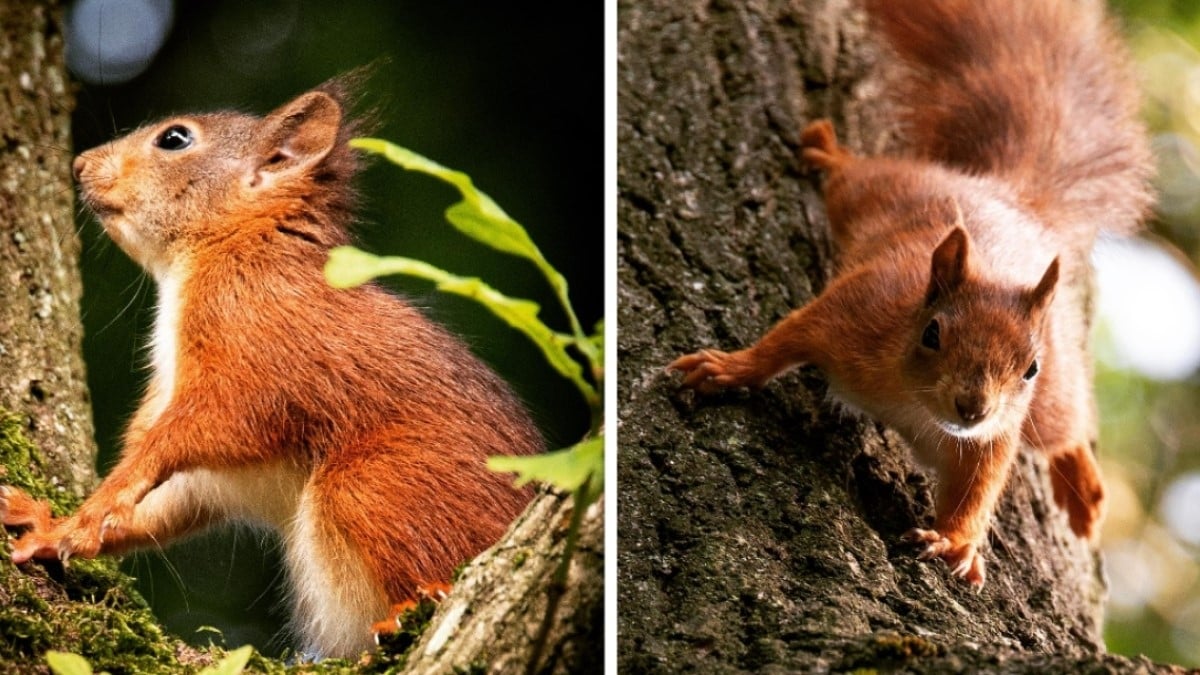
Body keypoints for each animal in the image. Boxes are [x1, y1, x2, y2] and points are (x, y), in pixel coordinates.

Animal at [0, 76, 542, 653]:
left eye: (174, 139)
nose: (79, 164)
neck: (228, 249)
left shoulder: (260, 354)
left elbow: (184, 440)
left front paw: (78, 522)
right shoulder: (201, 458)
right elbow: (165, 502)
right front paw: (49, 523)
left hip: (375, 485)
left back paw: (411, 608)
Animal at [672, 0, 1147, 583]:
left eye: (1028, 368)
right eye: (933, 334)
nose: (972, 408)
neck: (910, 401)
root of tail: (1006, 195)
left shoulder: (990, 438)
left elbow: (978, 488)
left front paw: (955, 541)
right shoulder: (853, 310)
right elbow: (786, 338)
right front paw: (729, 369)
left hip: (1053, 391)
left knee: (1064, 426)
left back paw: (1082, 485)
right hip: (875, 189)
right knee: (854, 178)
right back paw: (831, 154)